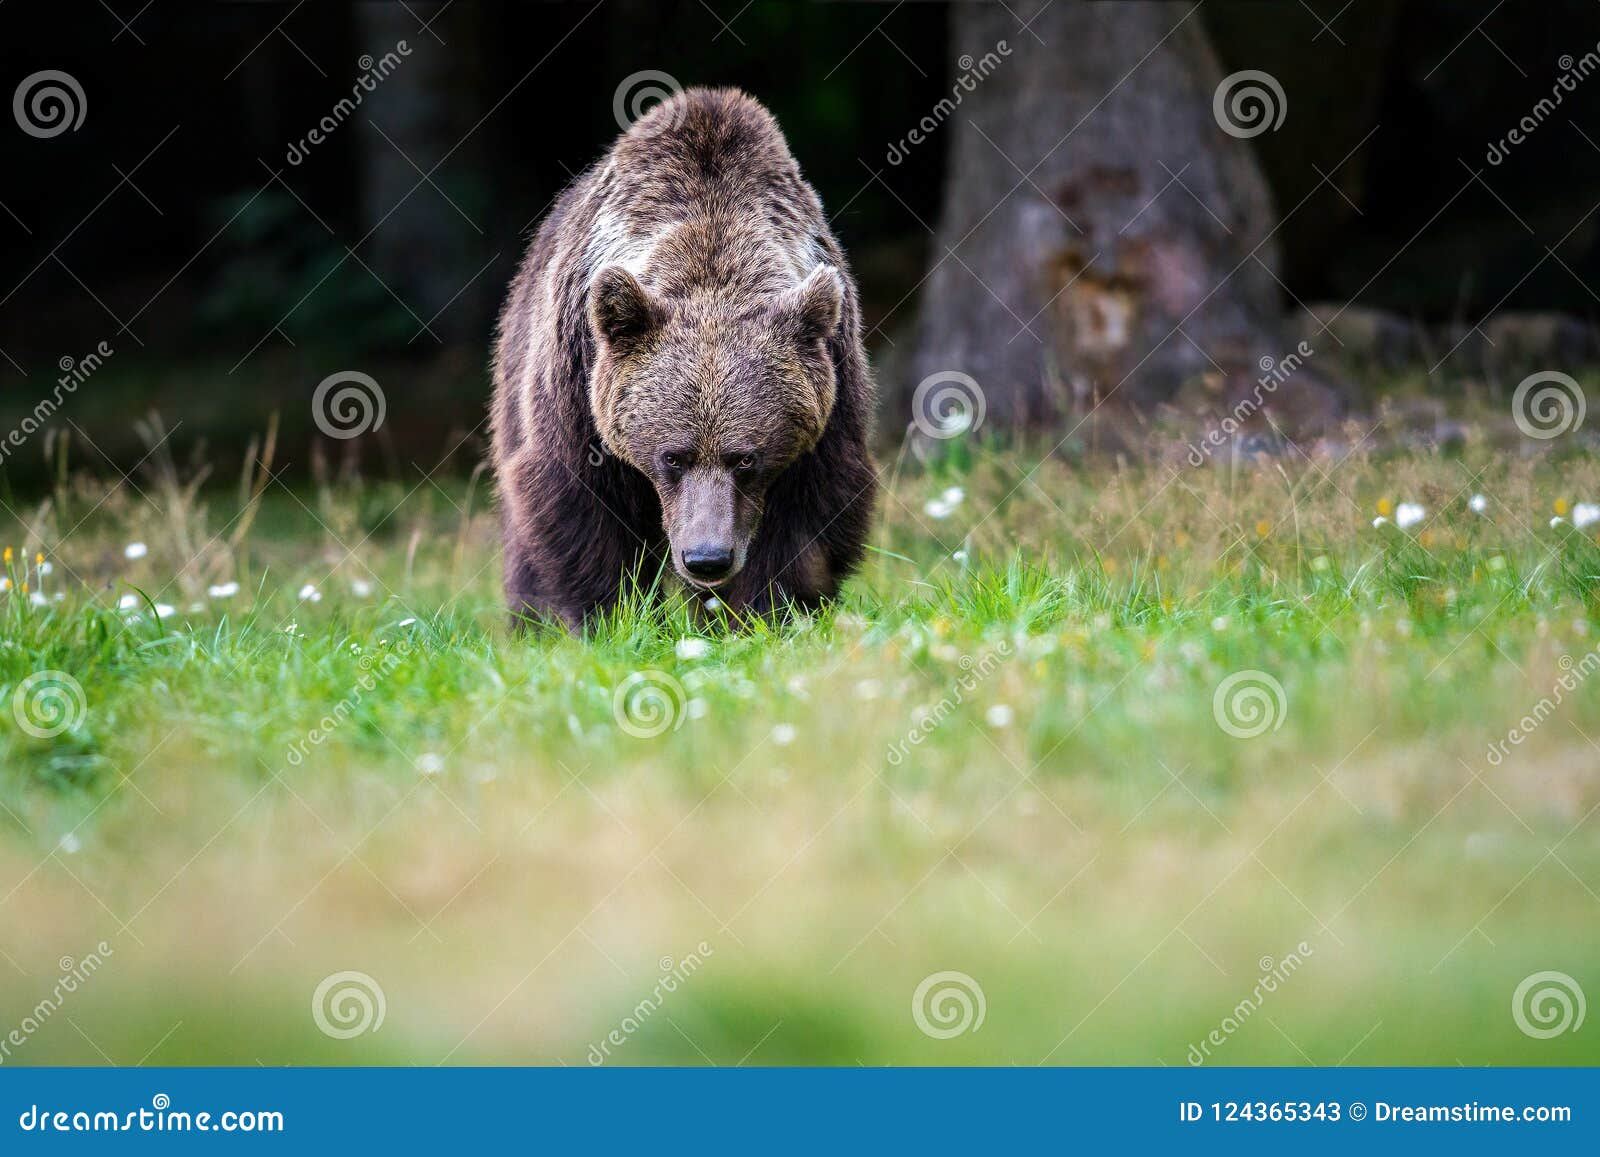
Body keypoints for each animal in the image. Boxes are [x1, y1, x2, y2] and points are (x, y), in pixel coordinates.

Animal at [490, 87, 878, 630]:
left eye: (745, 458)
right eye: (673, 456)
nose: (706, 558)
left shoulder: (830, 391)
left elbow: (807, 516)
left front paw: (764, 612)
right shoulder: (578, 384)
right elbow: (580, 504)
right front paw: (611, 616)